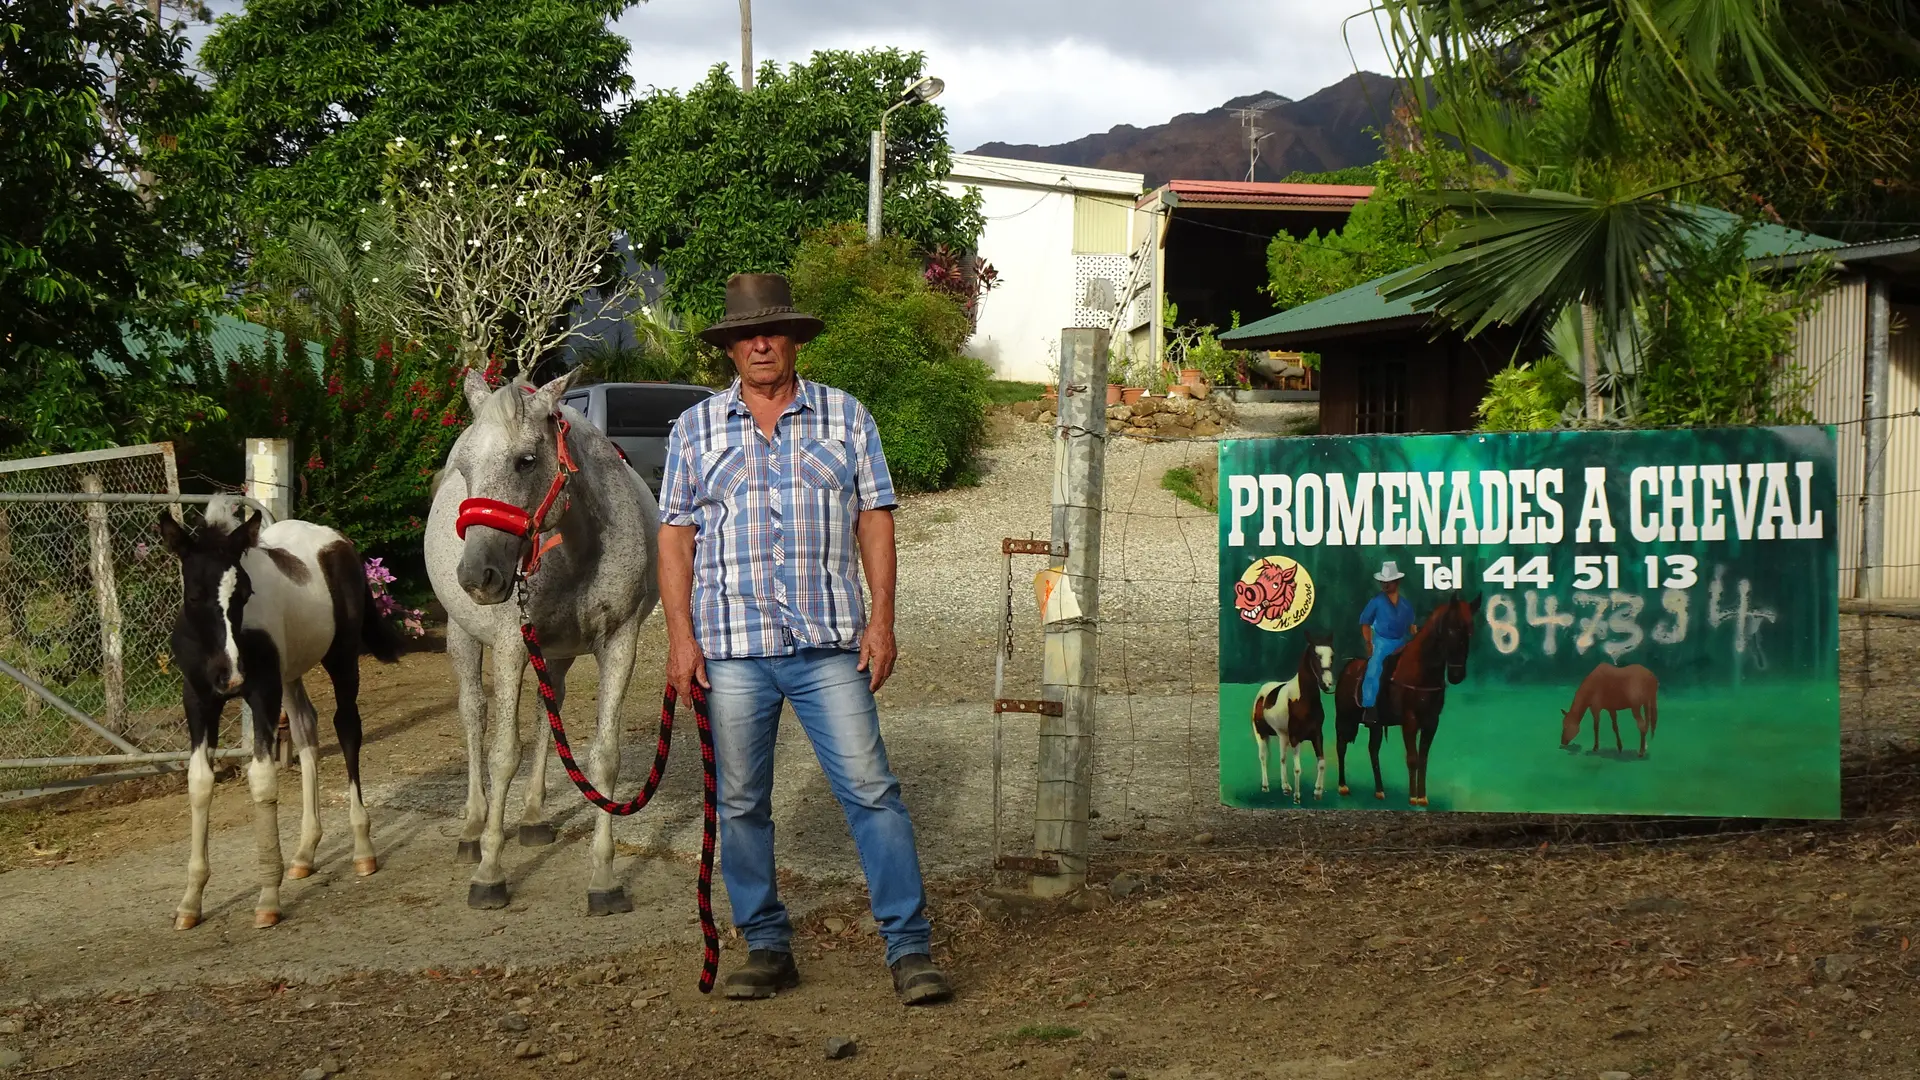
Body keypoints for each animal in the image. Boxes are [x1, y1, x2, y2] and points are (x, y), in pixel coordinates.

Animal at [158, 495, 401, 926]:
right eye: (194, 595)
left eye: (243, 594)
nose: (231, 676)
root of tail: (339, 540)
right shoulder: (198, 700)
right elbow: (200, 782)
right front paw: (190, 902)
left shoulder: (262, 693)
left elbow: (262, 778)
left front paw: (268, 898)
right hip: (291, 675)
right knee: (307, 731)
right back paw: (304, 853)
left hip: (341, 659)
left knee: (347, 729)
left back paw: (362, 848)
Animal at [420, 367, 660, 907]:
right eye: (464, 466)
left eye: (525, 460)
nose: (477, 576)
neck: (578, 547)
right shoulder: (512, 645)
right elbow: (503, 752)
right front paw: (489, 871)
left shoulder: (620, 642)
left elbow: (604, 758)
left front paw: (604, 878)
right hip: (463, 638)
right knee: (474, 715)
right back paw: (472, 828)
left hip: (554, 653)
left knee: (545, 712)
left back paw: (531, 818)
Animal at [1244, 630, 1336, 799]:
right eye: (1315, 655)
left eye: (1332, 655)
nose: (1327, 684)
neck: (1303, 700)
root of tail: (1263, 690)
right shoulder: (1295, 738)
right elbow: (1297, 768)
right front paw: (1297, 797)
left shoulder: (1317, 736)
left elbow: (1321, 763)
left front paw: (1317, 792)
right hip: (1262, 734)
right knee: (1263, 757)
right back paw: (1266, 786)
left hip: (1282, 736)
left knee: (1282, 759)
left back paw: (1285, 787)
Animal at [1336, 591, 1482, 803]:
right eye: (1452, 630)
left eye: (1470, 631)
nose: (1457, 675)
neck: (1422, 671)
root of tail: (1348, 668)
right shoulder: (1410, 720)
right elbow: (1412, 758)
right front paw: (1413, 797)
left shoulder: (1431, 722)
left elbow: (1423, 759)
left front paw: (1422, 797)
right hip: (1343, 719)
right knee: (1341, 746)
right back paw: (1342, 786)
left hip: (1375, 726)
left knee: (1373, 751)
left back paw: (1379, 790)